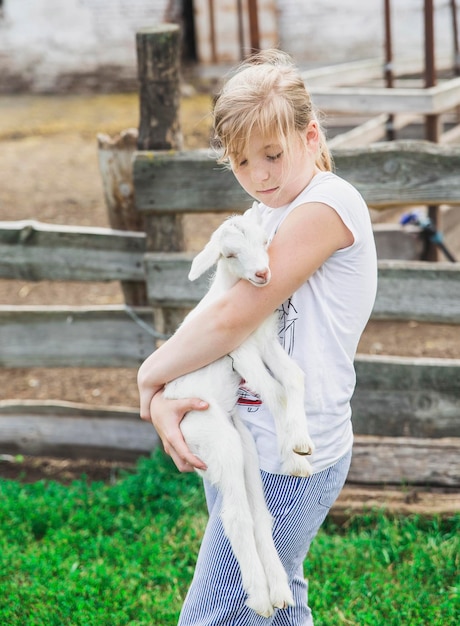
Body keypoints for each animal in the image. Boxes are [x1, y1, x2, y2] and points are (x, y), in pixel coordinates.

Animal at [164, 208, 314, 616]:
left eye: (265, 242)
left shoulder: (265, 342)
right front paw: (294, 445)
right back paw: (260, 597)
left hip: (242, 445)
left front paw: (298, 450)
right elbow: (276, 392)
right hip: (217, 439)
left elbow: (293, 378)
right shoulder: (241, 350)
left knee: (259, 513)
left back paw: (278, 591)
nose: (263, 274)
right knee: (234, 516)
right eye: (229, 254)